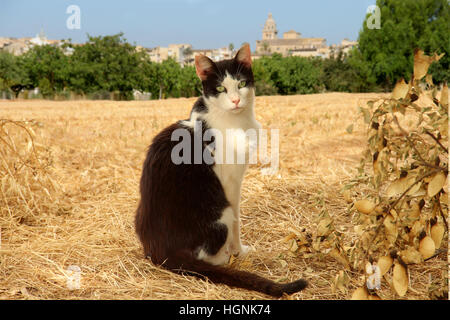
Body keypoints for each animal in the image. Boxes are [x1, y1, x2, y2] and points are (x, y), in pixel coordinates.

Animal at [135, 43, 308, 296]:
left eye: (241, 84)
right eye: (220, 88)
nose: (235, 100)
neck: (234, 120)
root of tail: (164, 252)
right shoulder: (231, 181)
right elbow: (238, 220)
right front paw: (239, 250)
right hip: (220, 212)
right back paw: (223, 258)